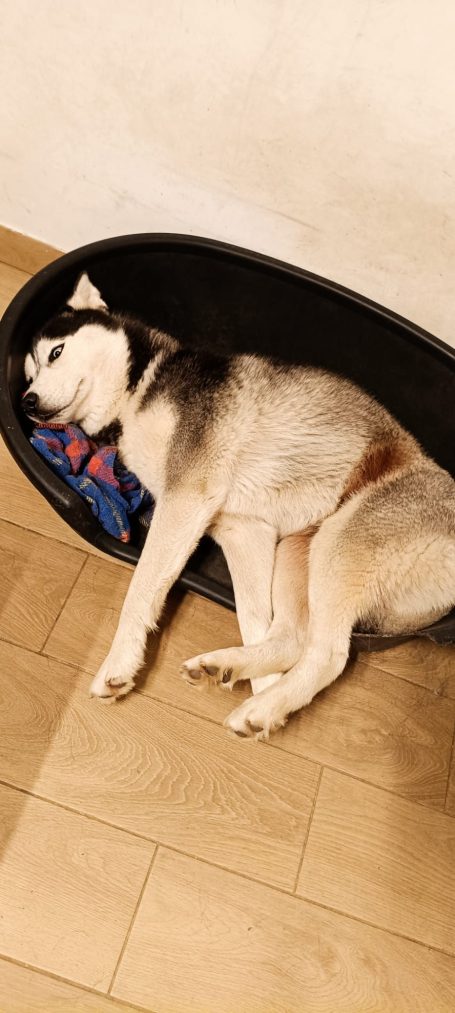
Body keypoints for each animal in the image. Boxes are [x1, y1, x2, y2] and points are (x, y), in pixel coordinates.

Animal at [22, 272, 455, 739]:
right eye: (28, 374)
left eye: (56, 352)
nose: (27, 401)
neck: (140, 387)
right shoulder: (242, 529)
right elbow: (253, 620)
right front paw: (261, 680)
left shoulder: (186, 496)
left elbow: (141, 588)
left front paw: (119, 663)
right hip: (296, 552)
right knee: (291, 639)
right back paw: (231, 670)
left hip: (341, 543)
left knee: (328, 655)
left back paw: (263, 708)